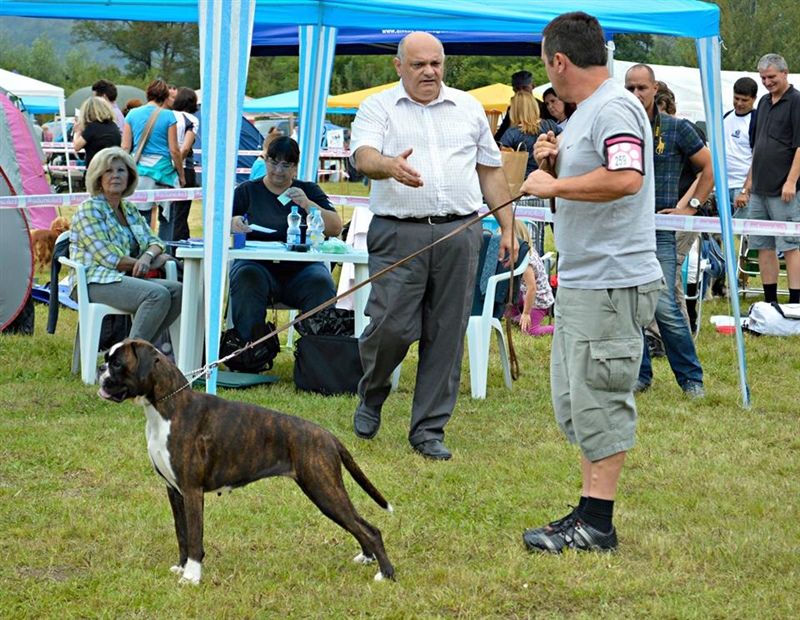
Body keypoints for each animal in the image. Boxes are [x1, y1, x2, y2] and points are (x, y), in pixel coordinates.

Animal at [97, 340, 394, 588]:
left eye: (117, 364)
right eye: (107, 359)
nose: (100, 367)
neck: (168, 406)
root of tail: (328, 436)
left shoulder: (192, 491)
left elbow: (194, 537)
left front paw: (192, 576)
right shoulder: (174, 491)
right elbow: (182, 533)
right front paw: (182, 568)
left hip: (323, 490)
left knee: (370, 530)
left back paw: (386, 574)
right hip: (325, 491)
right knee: (361, 525)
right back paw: (367, 558)